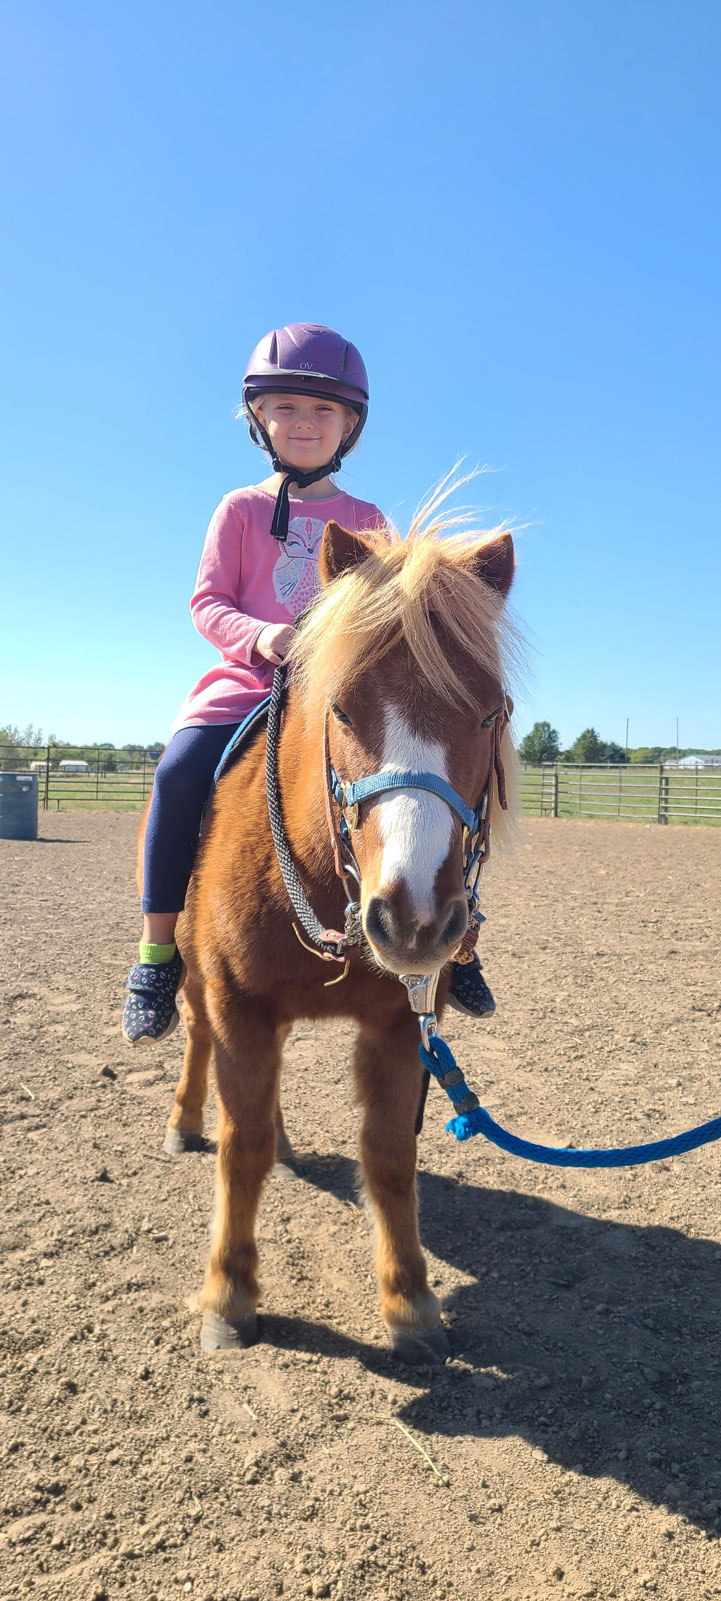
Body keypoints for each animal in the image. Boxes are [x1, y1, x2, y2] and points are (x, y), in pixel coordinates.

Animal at [150, 494, 518, 1362]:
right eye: (342, 706)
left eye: (489, 710)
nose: (414, 918)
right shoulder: (239, 1004)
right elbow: (240, 1148)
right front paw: (229, 1295)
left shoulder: (398, 1023)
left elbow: (388, 1153)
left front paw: (410, 1301)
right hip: (196, 979)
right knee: (196, 1044)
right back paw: (185, 1120)